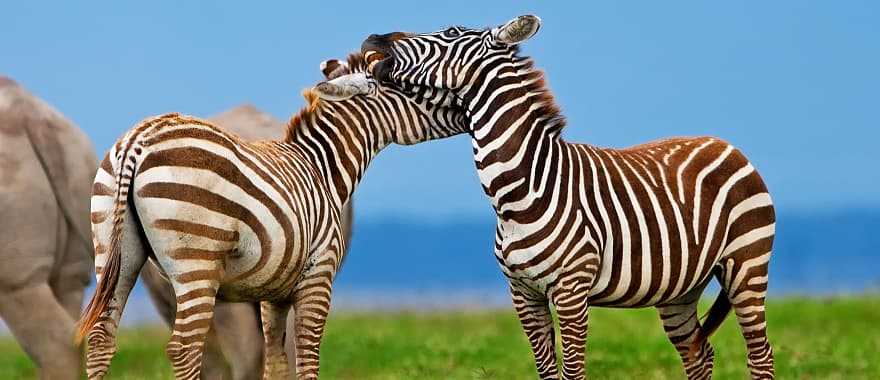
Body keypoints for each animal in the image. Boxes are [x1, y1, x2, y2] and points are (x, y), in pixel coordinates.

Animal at [79, 54, 470, 380]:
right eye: (417, 88)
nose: (465, 107)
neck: (321, 168)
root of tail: (139, 139)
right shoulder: (318, 274)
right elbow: (307, 358)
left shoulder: (274, 291)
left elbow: (277, 362)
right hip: (197, 260)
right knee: (185, 348)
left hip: (116, 251)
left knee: (101, 338)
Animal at [364, 15, 776, 380]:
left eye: (450, 31)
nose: (372, 39)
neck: (519, 192)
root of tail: (725, 144)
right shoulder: (523, 293)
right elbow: (548, 370)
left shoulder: (571, 289)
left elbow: (574, 371)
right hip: (681, 288)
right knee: (698, 355)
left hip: (747, 265)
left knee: (761, 354)